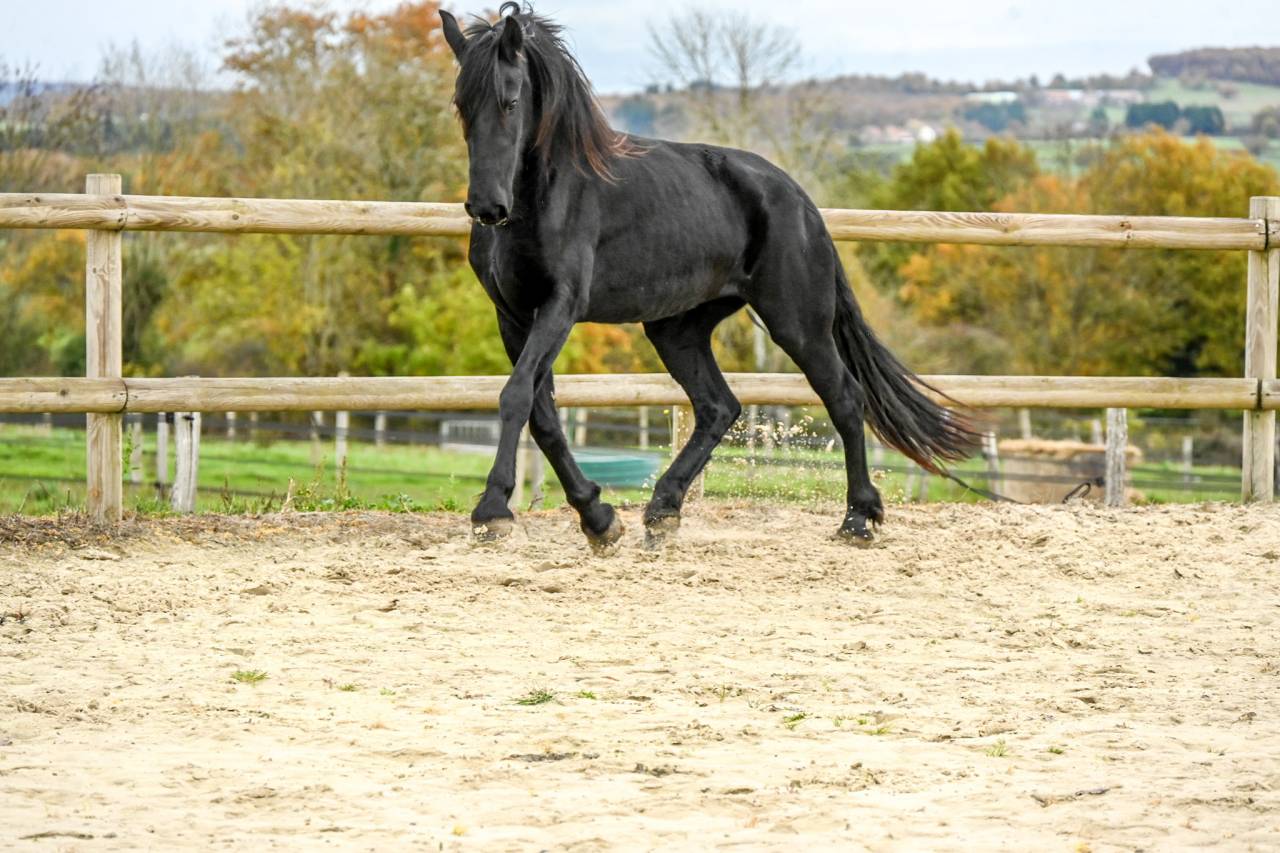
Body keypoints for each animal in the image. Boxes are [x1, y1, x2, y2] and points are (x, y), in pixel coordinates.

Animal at [438, 3, 980, 550]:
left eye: (510, 101)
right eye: (462, 104)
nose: (487, 207)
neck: (548, 196)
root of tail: (801, 201)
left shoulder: (560, 306)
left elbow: (516, 397)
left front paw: (493, 510)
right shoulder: (514, 316)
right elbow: (541, 413)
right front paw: (598, 519)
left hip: (797, 323)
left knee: (845, 398)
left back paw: (857, 518)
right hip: (678, 328)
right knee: (720, 406)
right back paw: (663, 509)